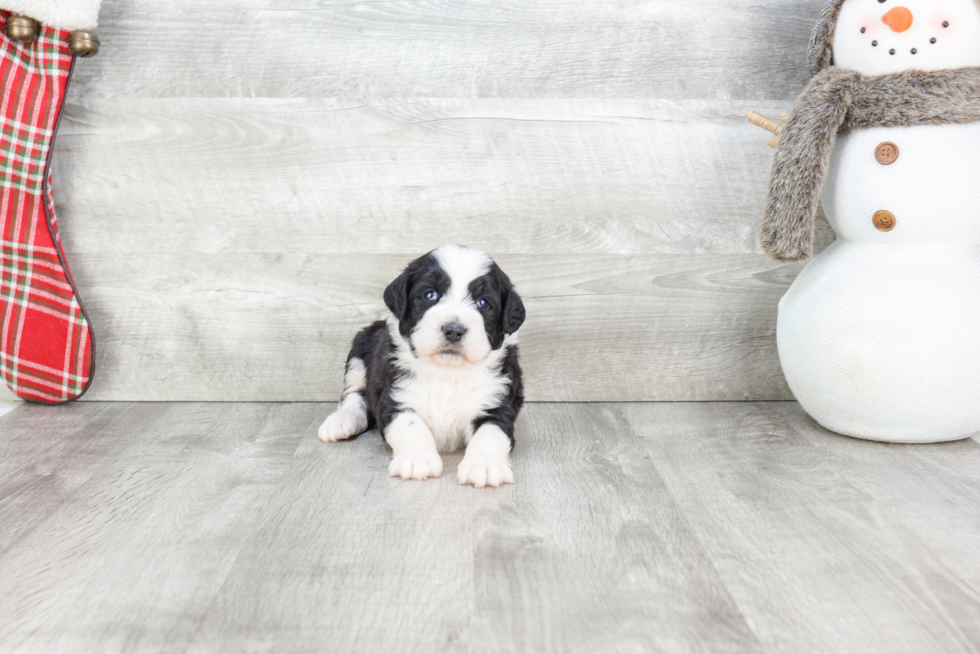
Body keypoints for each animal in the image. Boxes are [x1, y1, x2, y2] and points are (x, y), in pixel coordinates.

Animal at [318, 246, 524, 486]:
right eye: (430, 295)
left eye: (483, 303)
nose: (453, 330)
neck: (447, 372)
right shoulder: (395, 397)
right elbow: (411, 425)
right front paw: (417, 460)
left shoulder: (497, 402)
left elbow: (490, 433)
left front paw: (485, 465)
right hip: (360, 348)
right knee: (354, 395)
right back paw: (341, 421)